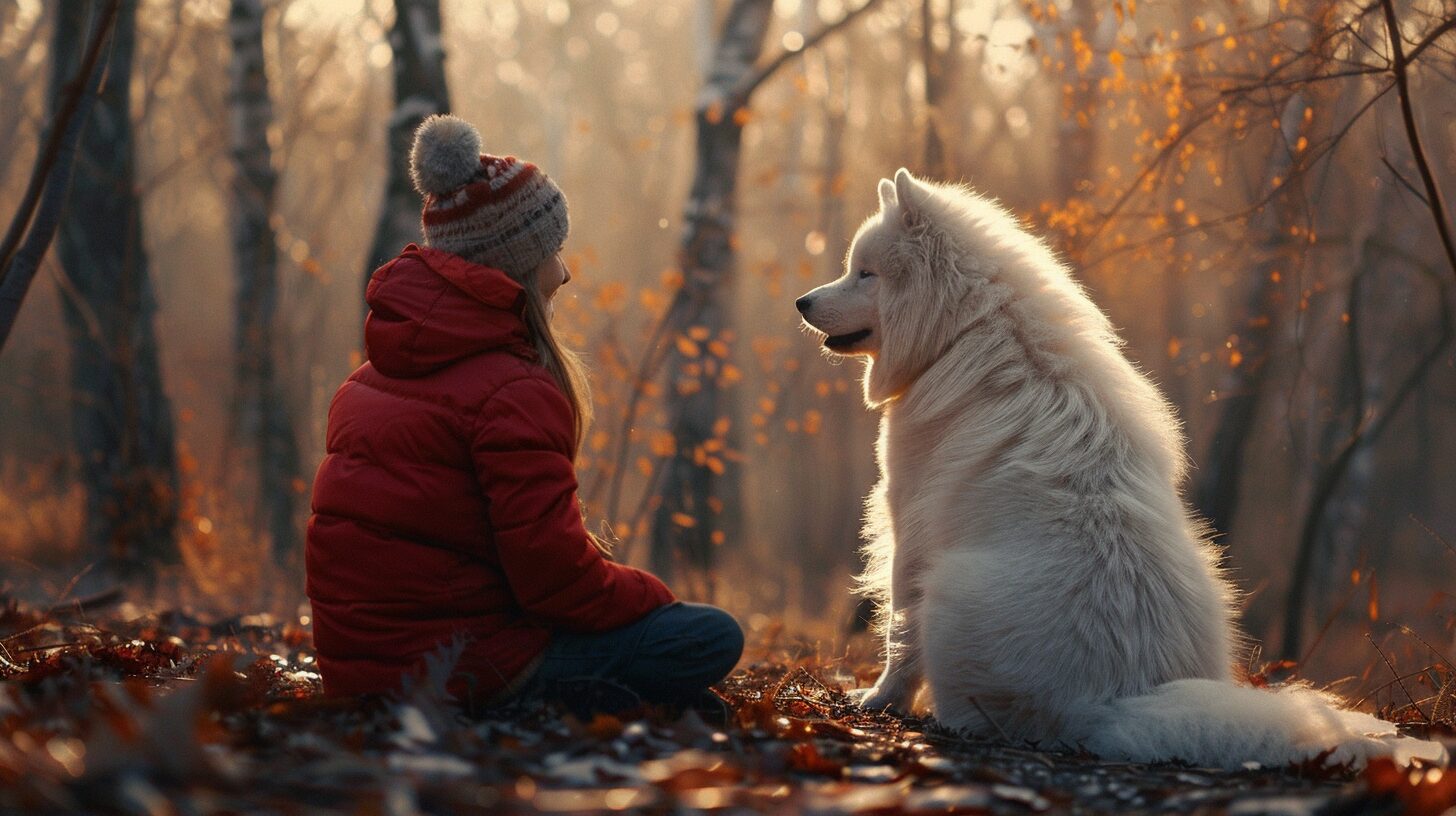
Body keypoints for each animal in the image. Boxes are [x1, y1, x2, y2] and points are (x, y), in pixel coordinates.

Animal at [797, 169, 1444, 769]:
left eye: (865, 273)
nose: (802, 302)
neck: (963, 333)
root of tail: (1116, 700)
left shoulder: (910, 528)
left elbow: (896, 635)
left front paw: (879, 701)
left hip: (949, 587)